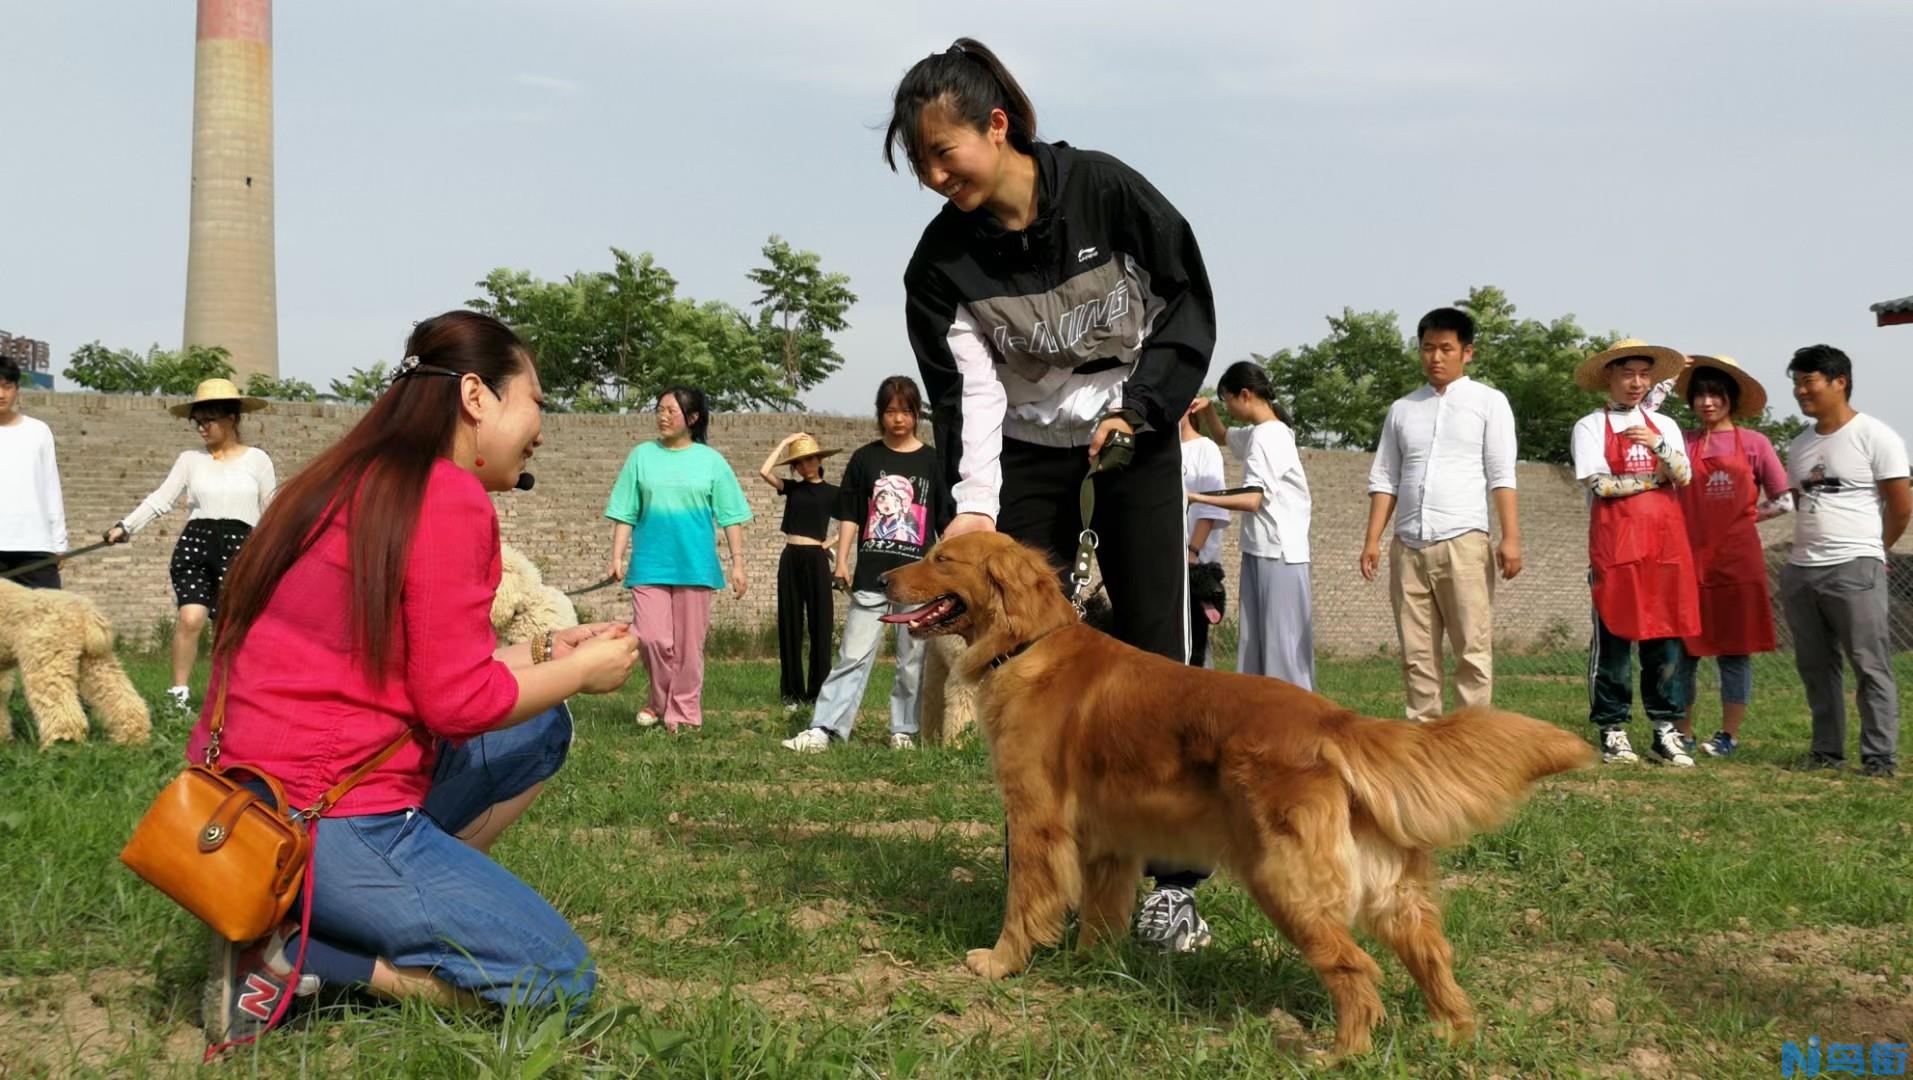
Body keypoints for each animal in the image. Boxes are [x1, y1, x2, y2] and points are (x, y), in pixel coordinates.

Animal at [879, 535, 1599, 1055]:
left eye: (942, 558)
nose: (882, 578)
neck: (1030, 643)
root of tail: (1335, 722)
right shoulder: (1110, 844)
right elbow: (1102, 917)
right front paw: (1092, 971)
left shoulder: (1035, 823)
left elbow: (1022, 904)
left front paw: (1000, 963)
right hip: (1390, 893)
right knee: (1432, 959)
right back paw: (1452, 1035)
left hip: (1283, 881)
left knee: (1356, 971)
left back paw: (1340, 1055)